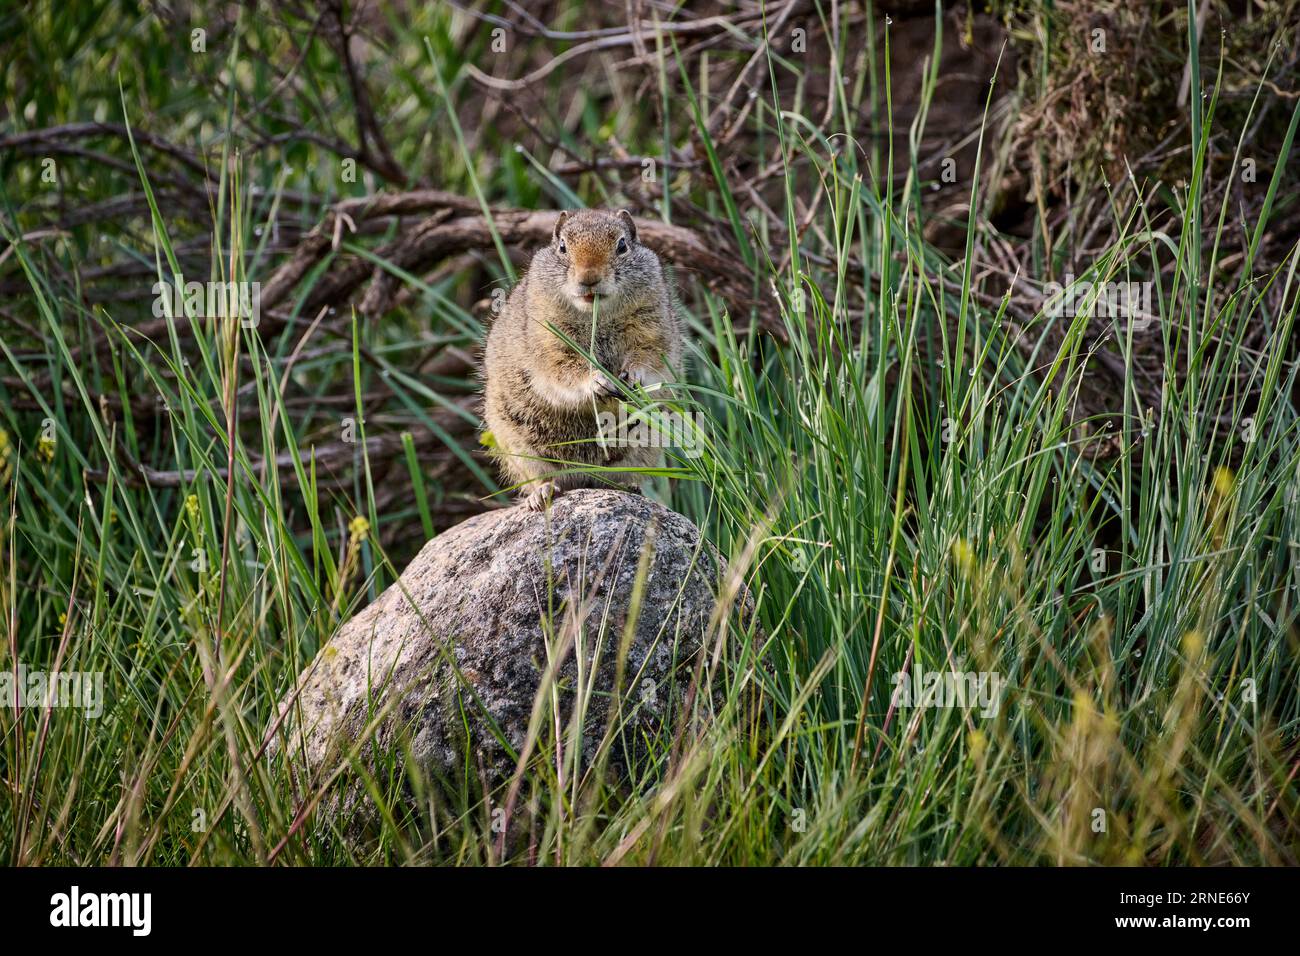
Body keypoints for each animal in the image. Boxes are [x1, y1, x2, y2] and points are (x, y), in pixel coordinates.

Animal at [483, 208, 686, 509]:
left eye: (622, 245)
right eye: (562, 247)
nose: (588, 277)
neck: (596, 316)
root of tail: (584, 477)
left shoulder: (653, 330)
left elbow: (649, 358)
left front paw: (633, 376)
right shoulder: (550, 346)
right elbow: (564, 373)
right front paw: (597, 381)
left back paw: (626, 486)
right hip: (518, 444)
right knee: (540, 477)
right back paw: (541, 494)